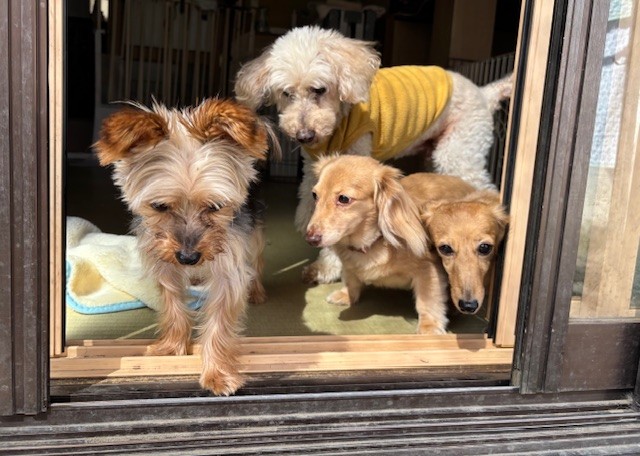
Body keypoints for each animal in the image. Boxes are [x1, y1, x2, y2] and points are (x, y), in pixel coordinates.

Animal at [94, 98, 271, 395]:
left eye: (215, 206)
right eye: (159, 206)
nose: (188, 258)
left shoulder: (228, 269)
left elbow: (219, 322)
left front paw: (217, 374)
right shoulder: (164, 265)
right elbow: (174, 305)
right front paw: (172, 349)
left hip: (253, 230)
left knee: (257, 259)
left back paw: (256, 291)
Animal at [234, 25, 514, 285]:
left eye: (319, 90)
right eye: (286, 93)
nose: (304, 135)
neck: (340, 118)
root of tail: (484, 94)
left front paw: (328, 268)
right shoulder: (315, 170)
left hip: (458, 150)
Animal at [304, 154, 471, 335]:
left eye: (343, 198)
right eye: (314, 195)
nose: (310, 238)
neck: (372, 242)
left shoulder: (428, 270)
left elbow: (427, 301)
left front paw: (429, 327)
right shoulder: (349, 265)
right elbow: (351, 280)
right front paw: (346, 295)